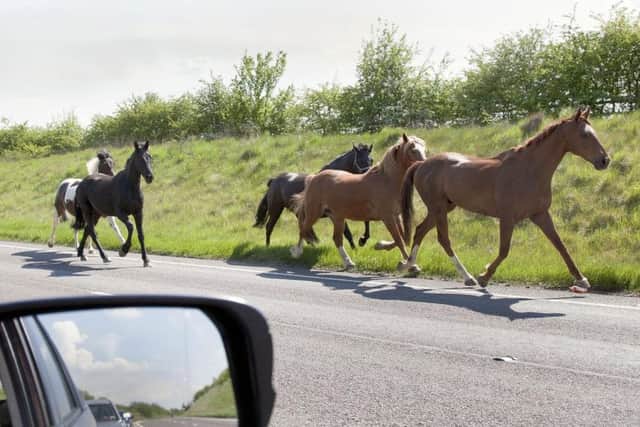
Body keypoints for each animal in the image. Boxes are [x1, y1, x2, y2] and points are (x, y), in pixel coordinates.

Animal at [290, 134, 426, 269]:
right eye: (412, 149)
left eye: (424, 149)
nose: (423, 164)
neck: (386, 180)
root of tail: (314, 178)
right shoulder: (388, 217)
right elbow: (399, 239)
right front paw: (410, 265)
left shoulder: (396, 216)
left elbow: (402, 238)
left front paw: (382, 247)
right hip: (314, 213)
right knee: (304, 229)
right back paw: (296, 252)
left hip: (337, 217)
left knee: (336, 239)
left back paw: (348, 262)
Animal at [400, 107, 609, 293]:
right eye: (584, 135)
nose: (605, 160)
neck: (529, 170)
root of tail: (421, 164)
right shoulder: (507, 218)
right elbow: (504, 250)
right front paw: (484, 276)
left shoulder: (540, 214)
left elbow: (561, 246)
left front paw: (582, 280)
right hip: (438, 209)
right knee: (443, 239)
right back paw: (467, 277)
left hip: (442, 208)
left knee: (420, 230)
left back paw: (408, 265)